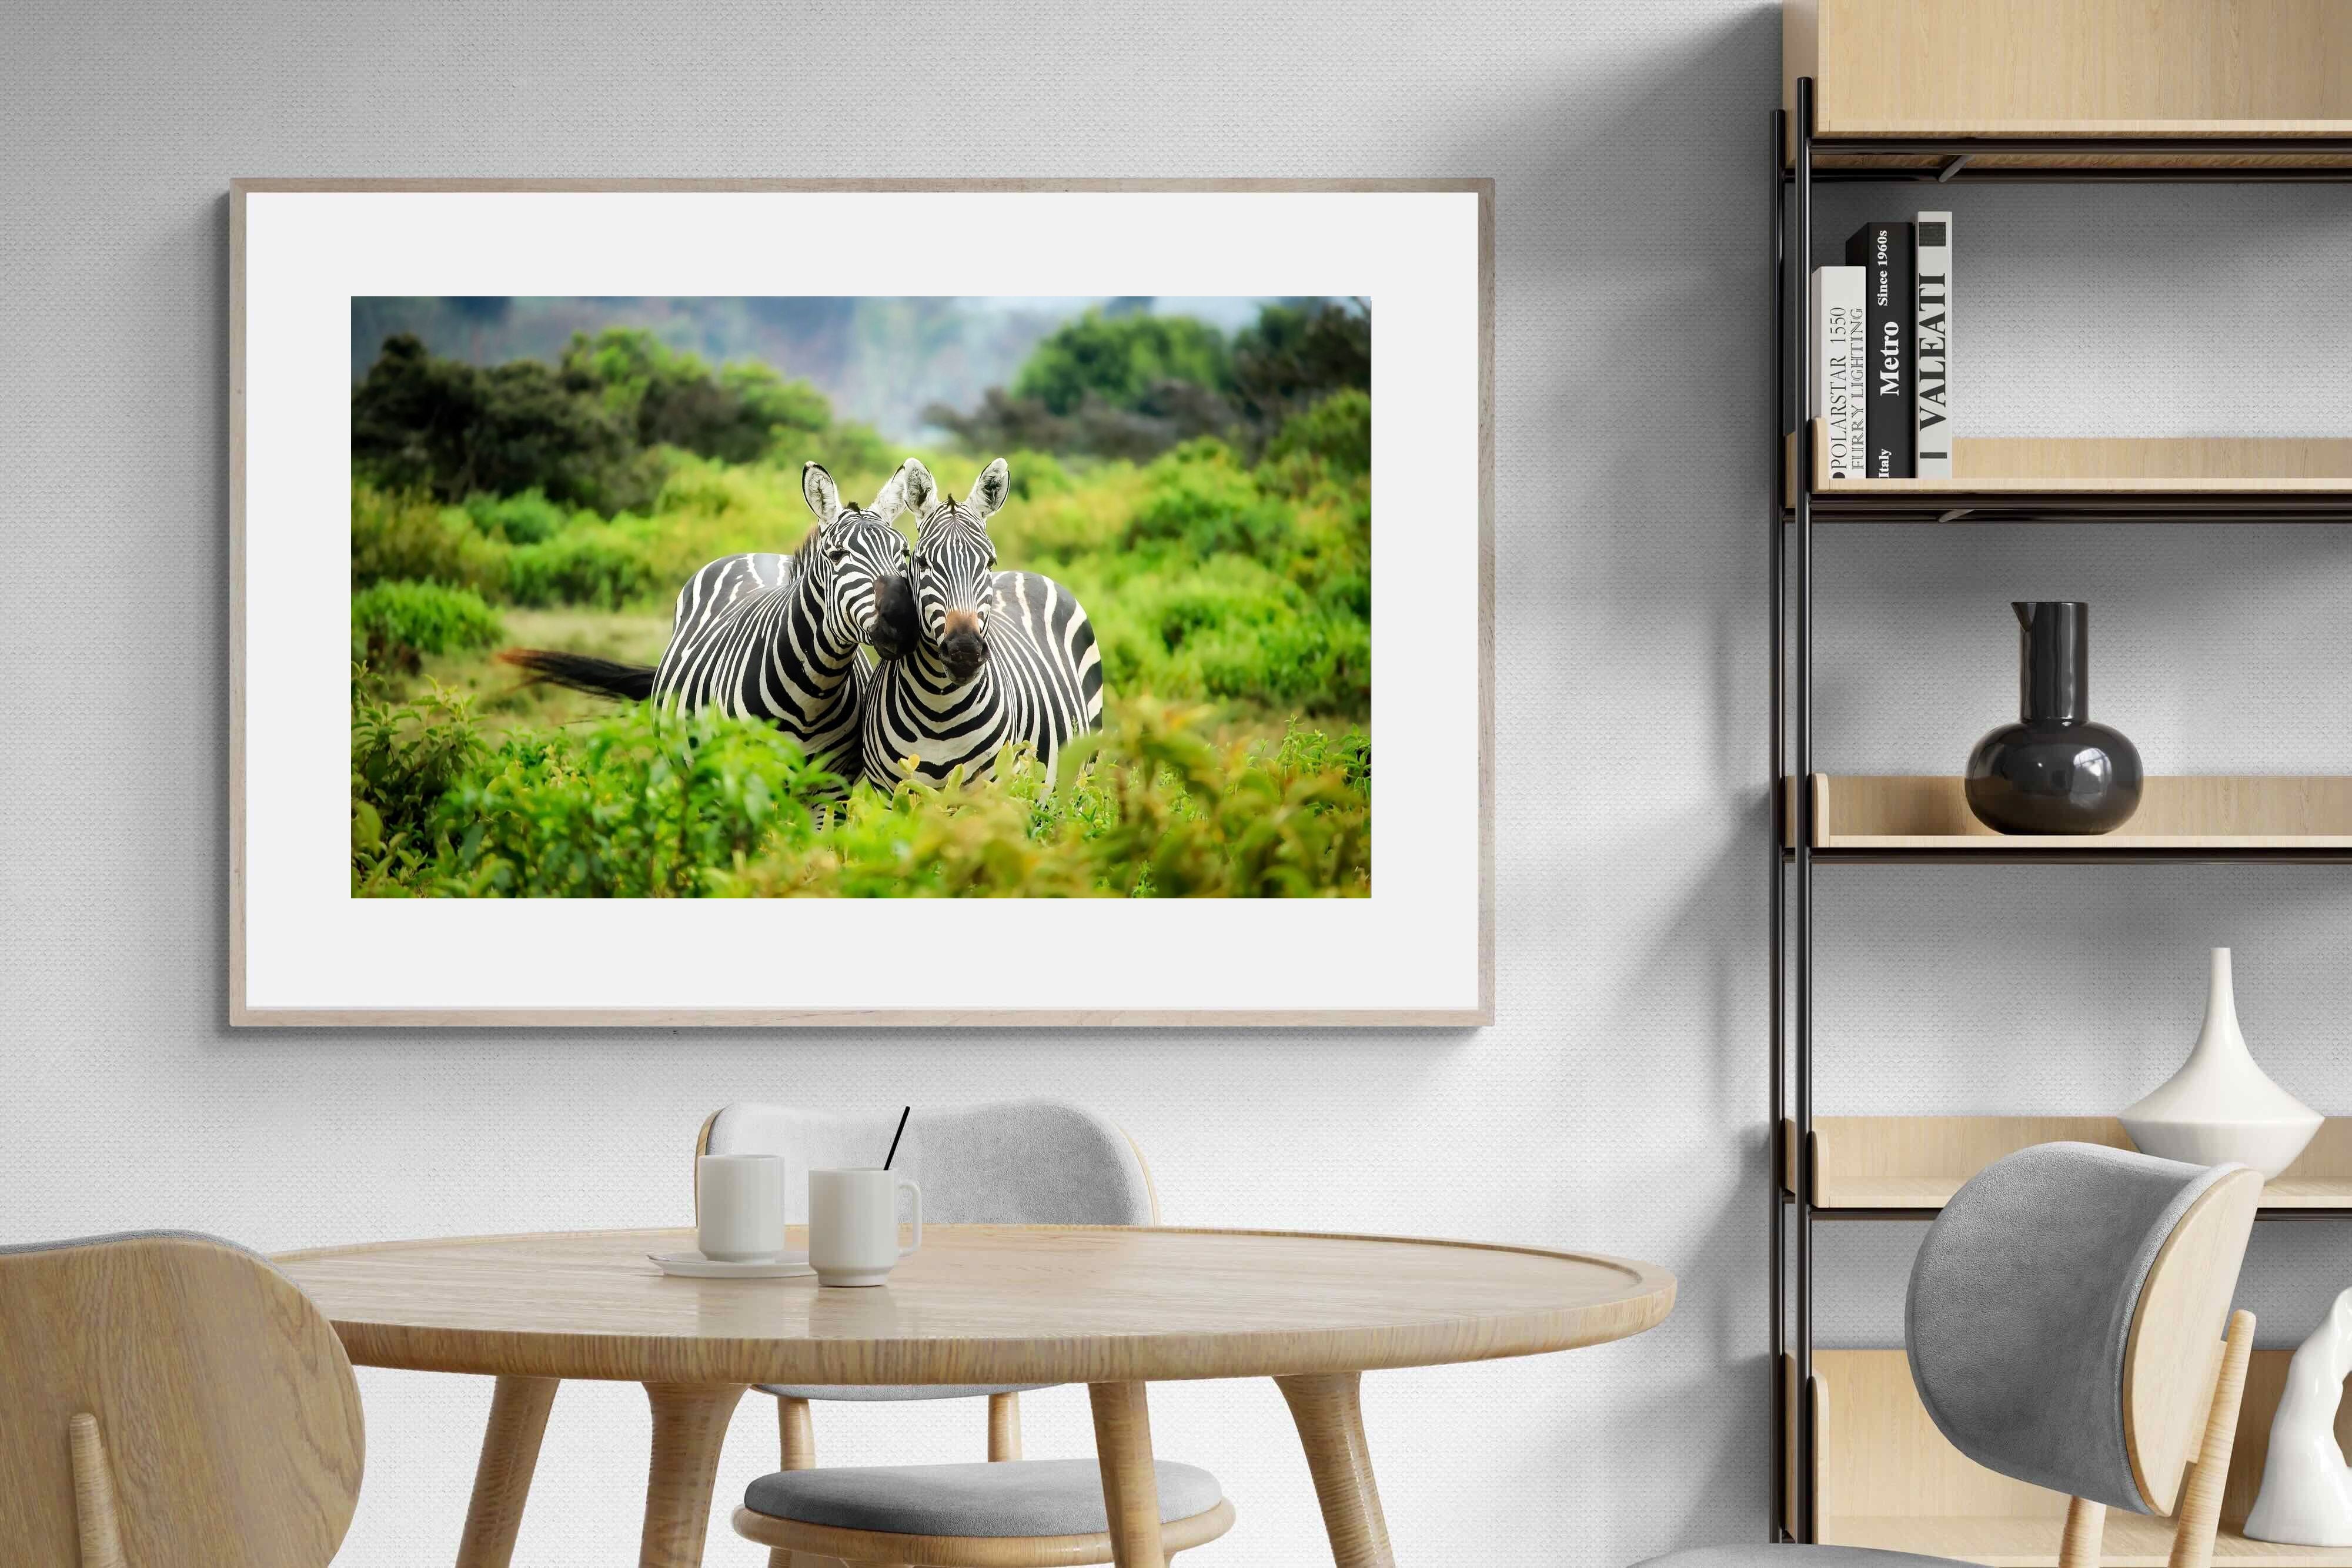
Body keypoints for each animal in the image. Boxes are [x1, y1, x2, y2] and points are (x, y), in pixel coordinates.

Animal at [499, 460, 918, 781]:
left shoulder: (830, 789)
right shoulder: (744, 777)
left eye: (904, 552)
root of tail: (757, 554)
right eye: (837, 555)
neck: (813, 693)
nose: (902, 622)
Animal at [860, 457, 1106, 790]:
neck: (939, 710)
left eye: (989, 562)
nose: (964, 652)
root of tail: (1027, 573)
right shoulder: (894, 792)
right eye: (922, 562)